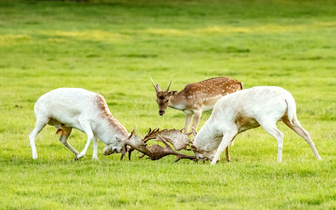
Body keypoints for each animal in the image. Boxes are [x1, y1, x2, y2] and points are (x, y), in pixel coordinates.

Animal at [190, 86, 322, 165]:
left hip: (266, 120)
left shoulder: (230, 129)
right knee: (306, 134)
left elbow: (222, 146)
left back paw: (278, 161)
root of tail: (287, 98)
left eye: (198, 154)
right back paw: (318, 158)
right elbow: (227, 146)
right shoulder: (236, 130)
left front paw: (213, 164)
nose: (197, 161)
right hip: (290, 118)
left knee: (280, 135)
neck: (214, 127)